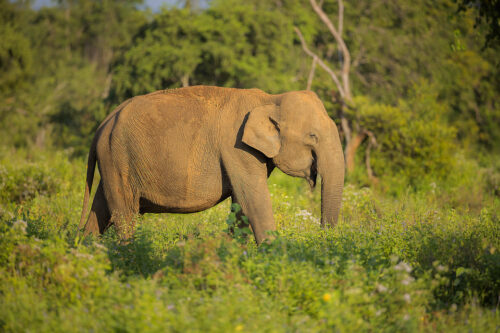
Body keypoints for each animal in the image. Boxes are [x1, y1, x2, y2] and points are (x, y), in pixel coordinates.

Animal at [78, 86, 344, 244]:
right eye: (312, 136)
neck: (270, 99)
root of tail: (104, 123)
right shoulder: (236, 147)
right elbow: (253, 200)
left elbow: (241, 205)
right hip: (118, 157)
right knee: (125, 215)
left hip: (112, 160)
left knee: (101, 208)